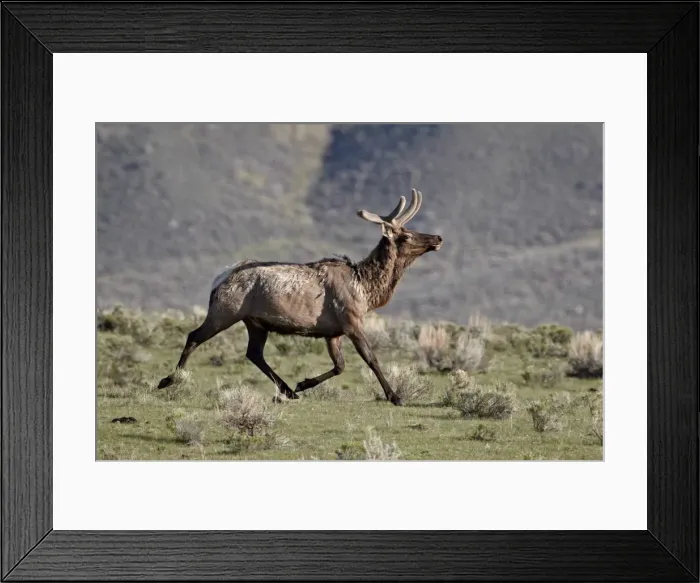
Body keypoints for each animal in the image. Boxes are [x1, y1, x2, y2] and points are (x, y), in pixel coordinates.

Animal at [157, 188, 442, 406]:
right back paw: (168, 380)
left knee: (254, 353)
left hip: (255, 322)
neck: (367, 290)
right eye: (407, 235)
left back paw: (288, 391)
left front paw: (303, 383)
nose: (438, 237)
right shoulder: (351, 321)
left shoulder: (333, 332)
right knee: (194, 336)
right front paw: (395, 396)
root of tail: (219, 279)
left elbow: (340, 366)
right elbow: (370, 359)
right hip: (225, 311)